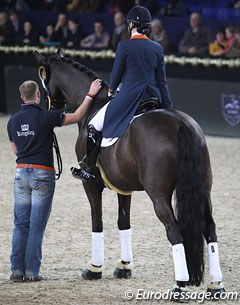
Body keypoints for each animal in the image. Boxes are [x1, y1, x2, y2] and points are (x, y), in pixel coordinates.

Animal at [34, 50, 225, 300]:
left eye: (44, 80)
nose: (49, 109)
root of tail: (182, 124)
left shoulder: (91, 185)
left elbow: (97, 222)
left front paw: (94, 269)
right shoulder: (123, 186)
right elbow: (123, 222)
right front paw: (124, 267)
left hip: (159, 195)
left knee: (174, 231)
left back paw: (179, 286)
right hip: (203, 190)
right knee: (209, 229)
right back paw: (216, 285)